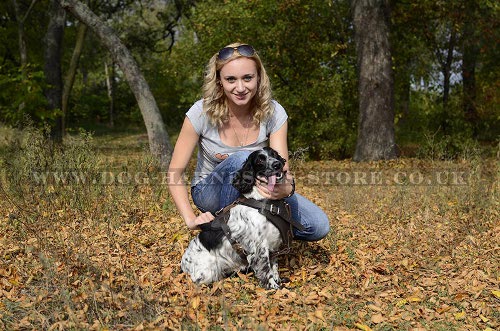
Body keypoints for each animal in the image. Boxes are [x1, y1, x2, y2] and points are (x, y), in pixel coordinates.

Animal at [183, 148, 292, 290]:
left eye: (274, 154)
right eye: (260, 160)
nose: (277, 164)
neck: (263, 202)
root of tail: (183, 264)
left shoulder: (274, 245)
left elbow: (274, 265)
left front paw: (278, 280)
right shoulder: (260, 246)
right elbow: (266, 269)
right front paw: (273, 287)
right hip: (207, 271)